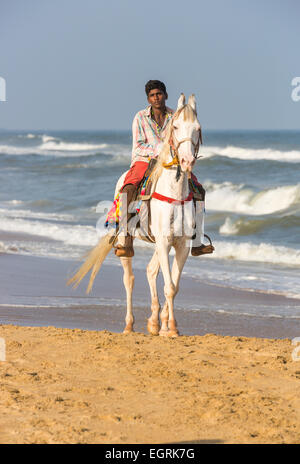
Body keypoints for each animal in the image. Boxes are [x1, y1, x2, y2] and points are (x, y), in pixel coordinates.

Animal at [67, 93, 204, 338]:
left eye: (197, 128)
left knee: (150, 271)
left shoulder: (180, 245)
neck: (174, 193)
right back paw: (130, 325)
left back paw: (154, 323)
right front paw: (170, 327)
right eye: (176, 126)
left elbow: (174, 286)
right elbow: (169, 286)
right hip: (127, 242)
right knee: (129, 279)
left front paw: (167, 325)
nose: (187, 161)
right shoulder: (164, 241)